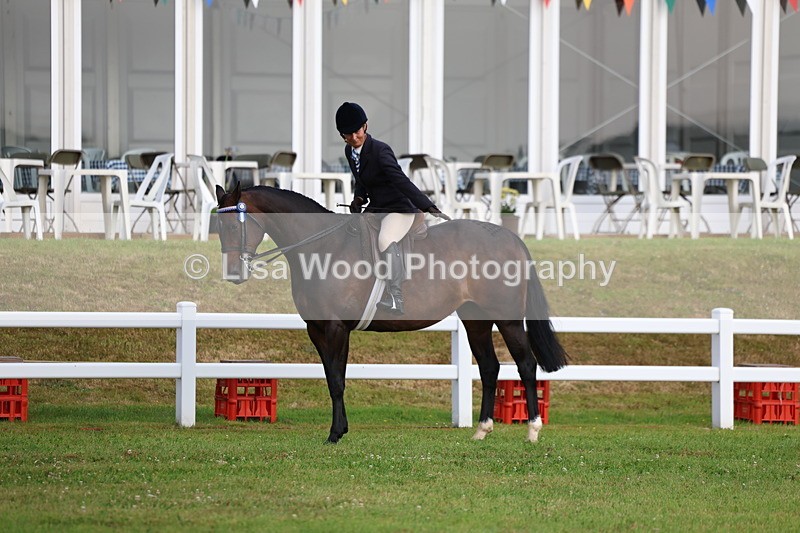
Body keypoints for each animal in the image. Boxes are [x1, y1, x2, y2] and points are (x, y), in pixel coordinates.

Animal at [214, 183, 567, 444]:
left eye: (235, 224)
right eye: (218, 225)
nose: (233, 273)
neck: (321, 248)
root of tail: (510, 237)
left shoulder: (335, 327)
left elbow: (337, 381)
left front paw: (335, 434)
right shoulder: (317, 329)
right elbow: (332, 378)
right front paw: (339, 430)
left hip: (507, 318)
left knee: (526, 364)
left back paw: (532, 430)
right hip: (475, 319)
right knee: (490, 367)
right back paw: (482, 430)